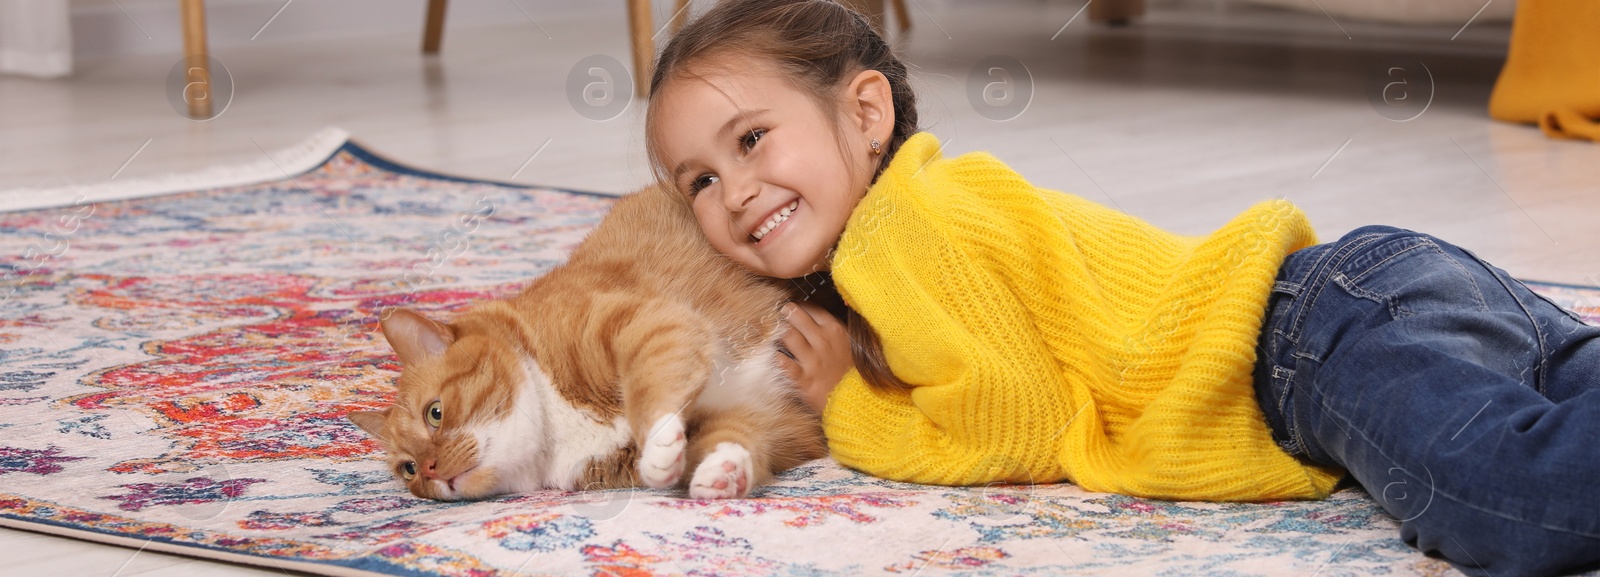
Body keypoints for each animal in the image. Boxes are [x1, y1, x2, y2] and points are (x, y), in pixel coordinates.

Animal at [350, 185, 825, 498]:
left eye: (435, 413)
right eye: (408, 469)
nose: (431, 471)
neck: (557, 425)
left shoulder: (643, 323)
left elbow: (649, 389)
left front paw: (658, 443)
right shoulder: (762, 418)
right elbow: (738, 438)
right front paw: (721, 474)